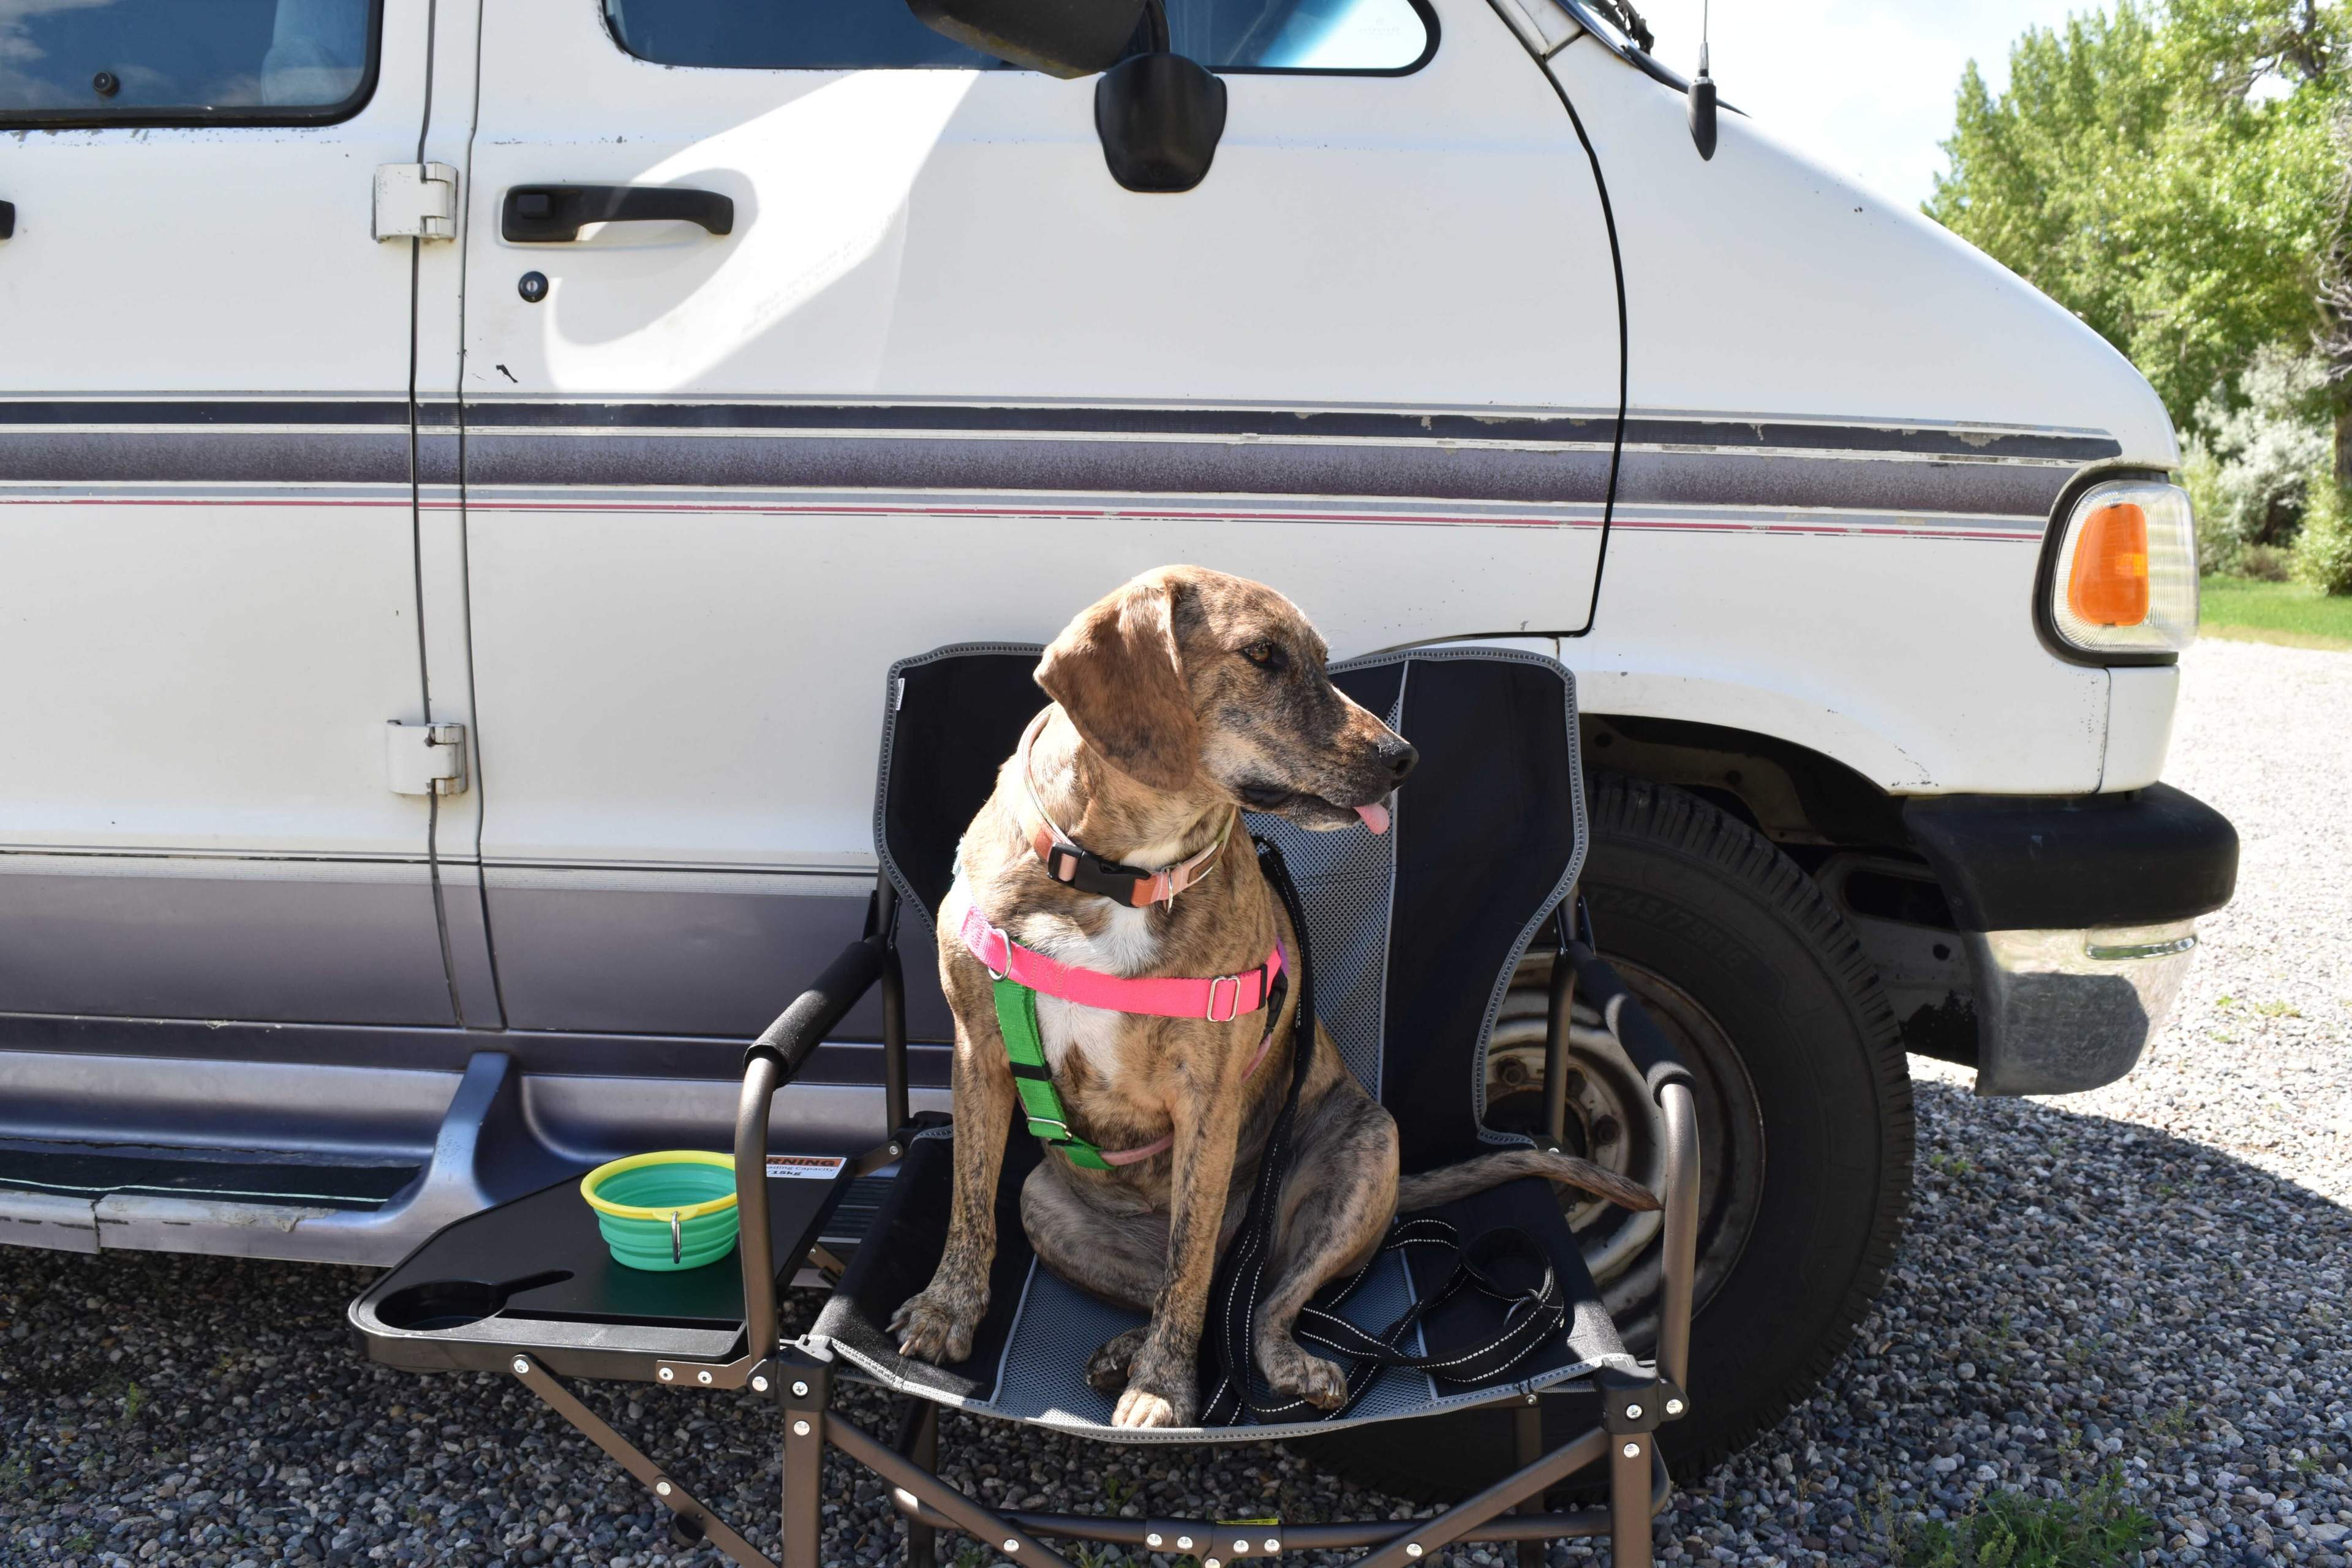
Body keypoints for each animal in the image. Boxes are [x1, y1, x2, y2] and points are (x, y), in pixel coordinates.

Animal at [889, 566, 1665, 1438]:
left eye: (1324, 661)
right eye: (1261, 655)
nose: (1404, 757)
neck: (1118, 875)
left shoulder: (1208, 1098)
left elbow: (1190, 1266)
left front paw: (1163, 1388)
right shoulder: (977, 1053)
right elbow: (968, 1205)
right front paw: (947, 1310)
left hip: (1362, 1156)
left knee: (1251, 1299)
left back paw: (1268, 1357)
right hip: (1046, 1204)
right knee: (1180, 1285)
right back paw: (1131, 1342)